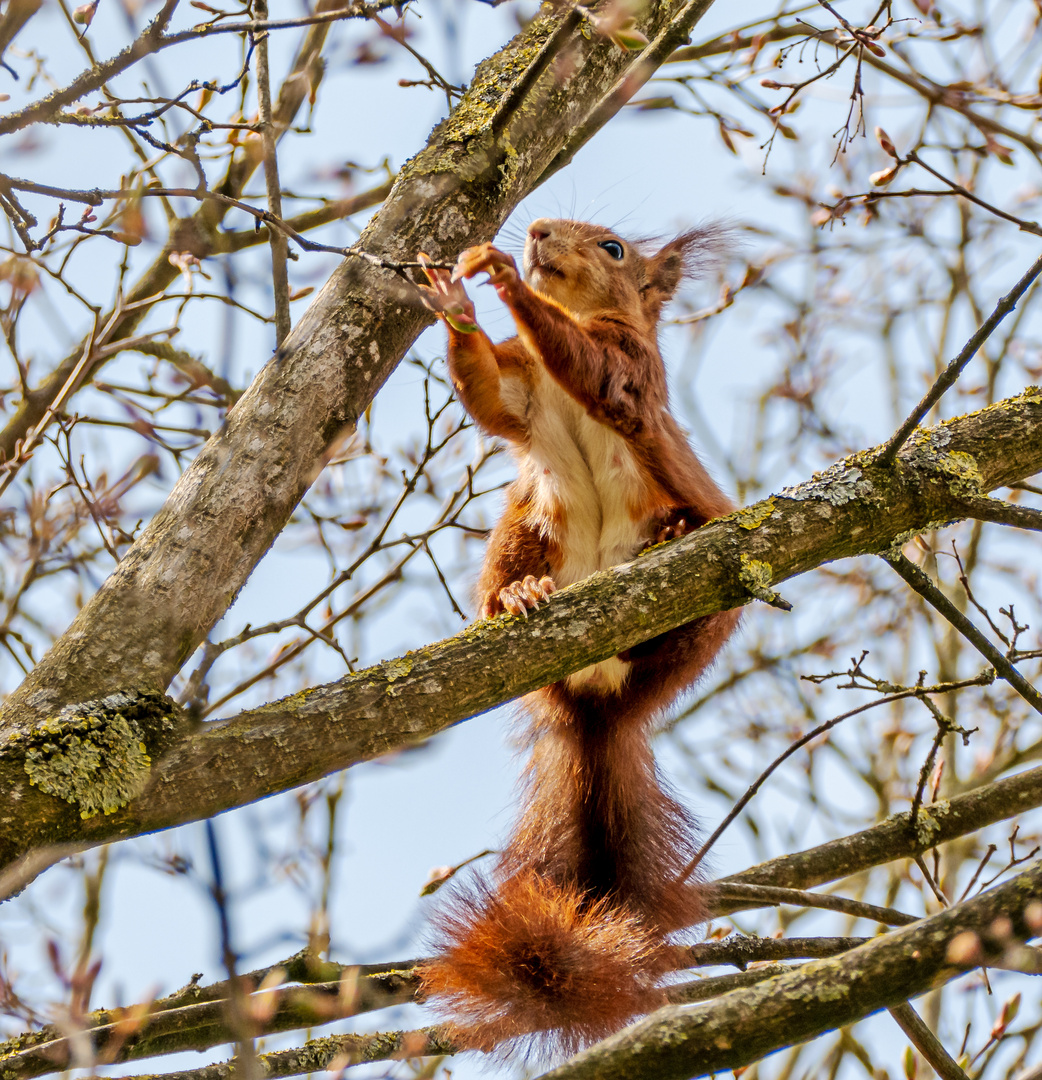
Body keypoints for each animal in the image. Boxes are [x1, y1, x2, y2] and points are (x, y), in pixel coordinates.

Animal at [414, 217, 738, 1054]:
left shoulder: (631, 369)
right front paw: (455, 300)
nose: (534, 231)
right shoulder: (520, 391)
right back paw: (518, 596)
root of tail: (599, 712)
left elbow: (596, 370)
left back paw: (673, 544)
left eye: (614, 247)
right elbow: (490, 398)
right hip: (525, 522)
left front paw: (508, 281)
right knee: (513, 570)